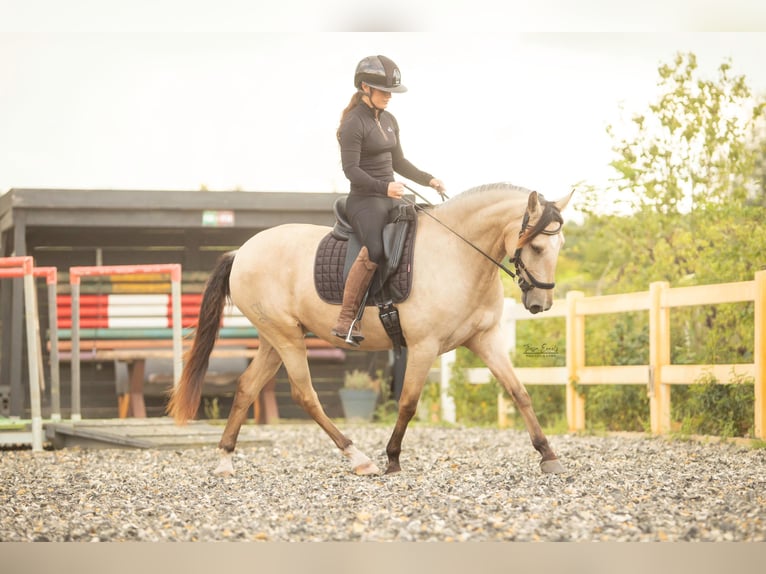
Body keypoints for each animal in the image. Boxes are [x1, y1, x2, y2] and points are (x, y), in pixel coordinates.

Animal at [170, 183, 576, 476]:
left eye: (560, 245)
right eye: (537, 246)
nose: (541, 304)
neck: (457, 254)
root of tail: (241, 252)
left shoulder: (485, 340)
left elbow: (519, 392)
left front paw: (548, 454)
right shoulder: (423, 346)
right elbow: (409, 402)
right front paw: (392, 458)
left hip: (275, 339)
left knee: (247, 387)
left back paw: (225, 459)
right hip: (286, 339)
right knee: (305, 395)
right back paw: (358, 457)